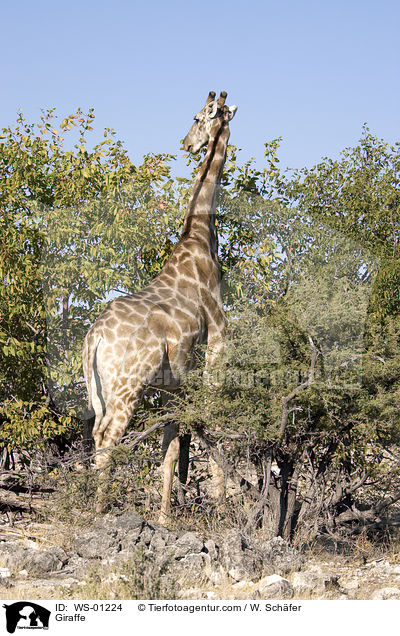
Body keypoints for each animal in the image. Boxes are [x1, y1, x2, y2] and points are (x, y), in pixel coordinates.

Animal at [82, 90, 238, 528]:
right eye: (198, 116)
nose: (187, 144)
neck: (200, 238)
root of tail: (93, 338)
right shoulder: (219, 338)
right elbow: (212, 424)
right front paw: (221, 510)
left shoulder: (171, 385)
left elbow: (170, 448)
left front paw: (166, 516)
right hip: (127, 387)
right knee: (108, 437)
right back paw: (97, 511)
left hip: (102, 389)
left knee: (96, 433)